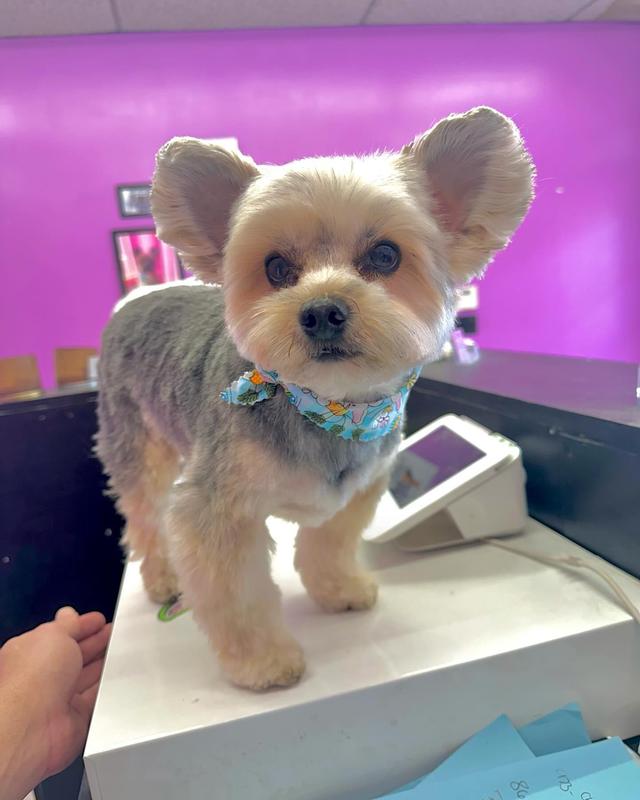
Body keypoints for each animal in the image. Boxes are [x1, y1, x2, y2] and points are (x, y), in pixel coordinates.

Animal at [96, 107, 534, 690]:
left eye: (386, 255)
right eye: (277, 267)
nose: (322, 310)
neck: (331, 410)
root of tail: (135, 299)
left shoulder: (357, 489)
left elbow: (329, 545)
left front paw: (338, 590)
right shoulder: (218, 512)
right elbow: (237, 595)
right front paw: (262, 662)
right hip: (135, 440)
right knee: (144, 514)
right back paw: (164, 577)